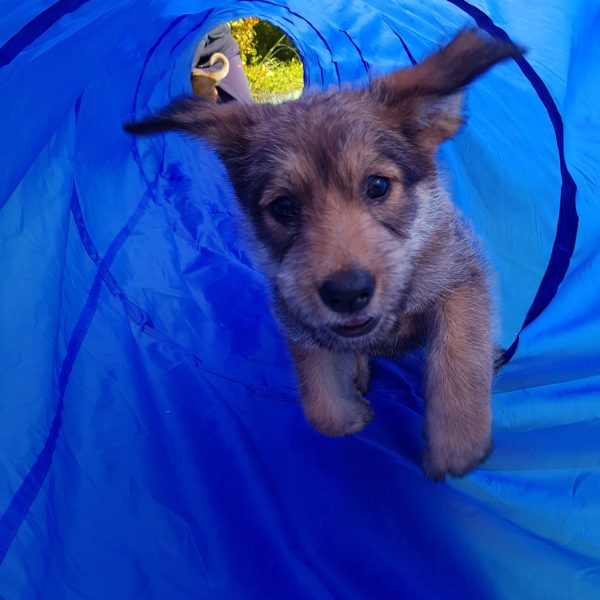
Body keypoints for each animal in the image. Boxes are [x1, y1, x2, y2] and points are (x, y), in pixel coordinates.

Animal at [125, 30, 520, 480]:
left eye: (377, 186)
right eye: (283, 208)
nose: (347, 294)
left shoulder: (461, 280)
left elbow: (459, 360)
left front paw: (459, 447)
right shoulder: (299, 320)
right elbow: (319, 409)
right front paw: (352, 417)